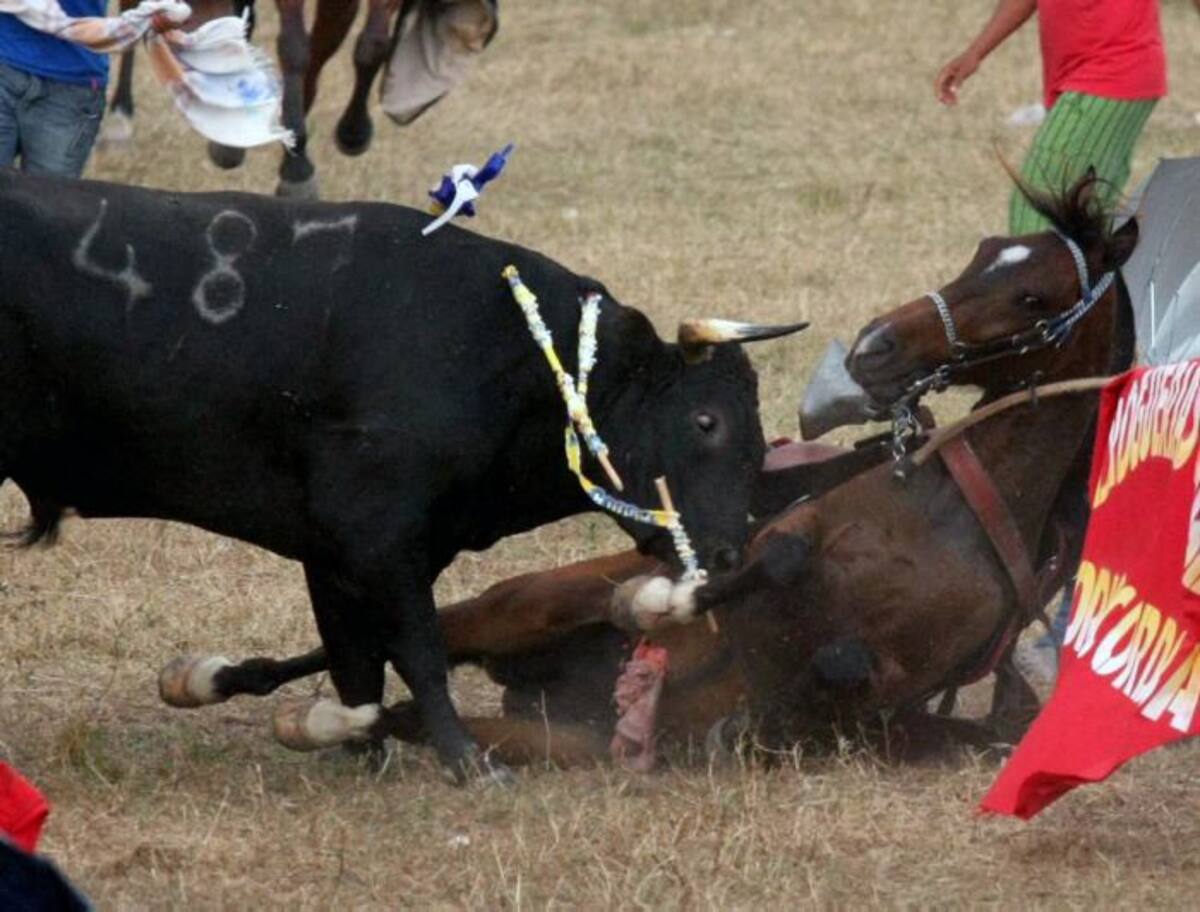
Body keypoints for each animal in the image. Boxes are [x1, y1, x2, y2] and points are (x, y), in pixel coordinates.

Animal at [156, 172, 1138, 768]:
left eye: (1031, 293)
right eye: (983, 252)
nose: (878, 345)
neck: (962, 512)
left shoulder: (882, 691)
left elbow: (841, 662)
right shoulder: (792, 530)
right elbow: (769, 558)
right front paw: (653, 603)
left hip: (560, 742)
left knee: (406, 708)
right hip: (514, 606)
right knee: (385, 643)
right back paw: (215, 679)